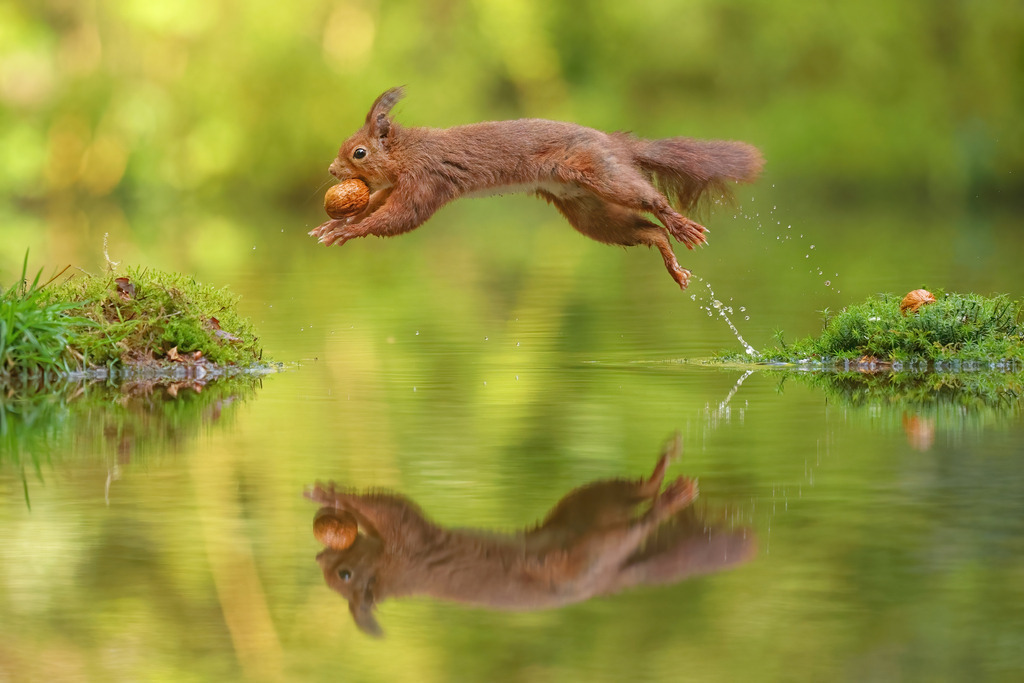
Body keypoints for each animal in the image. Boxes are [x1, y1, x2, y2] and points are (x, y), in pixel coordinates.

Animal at [309, 87, 763, 289]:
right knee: (646, 231)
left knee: (650, 201)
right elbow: (378, 205)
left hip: (602, 177)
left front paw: (349, 229)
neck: (409, 153)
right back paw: (672, 261)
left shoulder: (427, 181)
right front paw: (335, 225)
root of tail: (615, 143)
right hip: (589, 212)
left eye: (359, 152)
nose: (331, 169)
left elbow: (400, 217)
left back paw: (681, 225)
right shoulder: (395, 187)